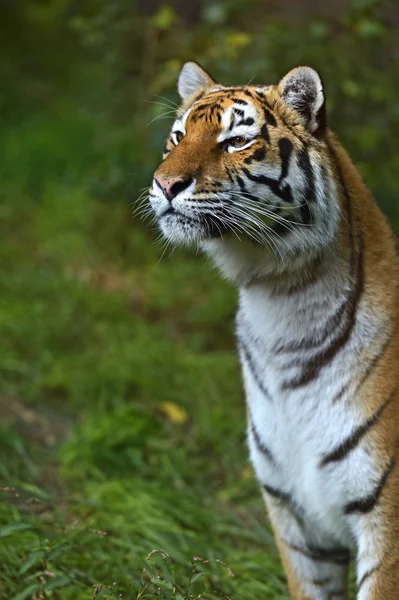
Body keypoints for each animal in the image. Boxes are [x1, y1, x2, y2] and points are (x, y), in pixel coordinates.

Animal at [147, 62, 399, 600]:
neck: (280, 301)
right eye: (177, 137)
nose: (165, 183)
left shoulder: (387, 524)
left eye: (236, 141)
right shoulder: (296, 516)